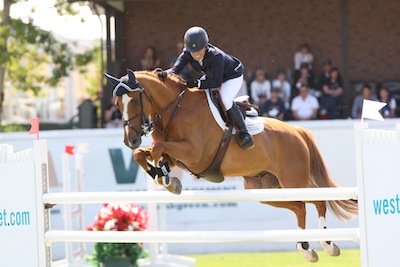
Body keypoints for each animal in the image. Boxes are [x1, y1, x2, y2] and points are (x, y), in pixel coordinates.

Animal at [104, 69, 358, 264]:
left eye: (134, 100)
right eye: (117, 103)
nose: (130, 140)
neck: (175, 108)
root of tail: (297, 131)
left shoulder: (194, 154)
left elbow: (157, 149)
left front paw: (165, 177)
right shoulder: (180, 156)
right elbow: (144, 153)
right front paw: (165, 176)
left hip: (294, 182)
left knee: (317, 201)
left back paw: (325, 245)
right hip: (265, 190)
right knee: (299, 207)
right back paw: (307, 248)